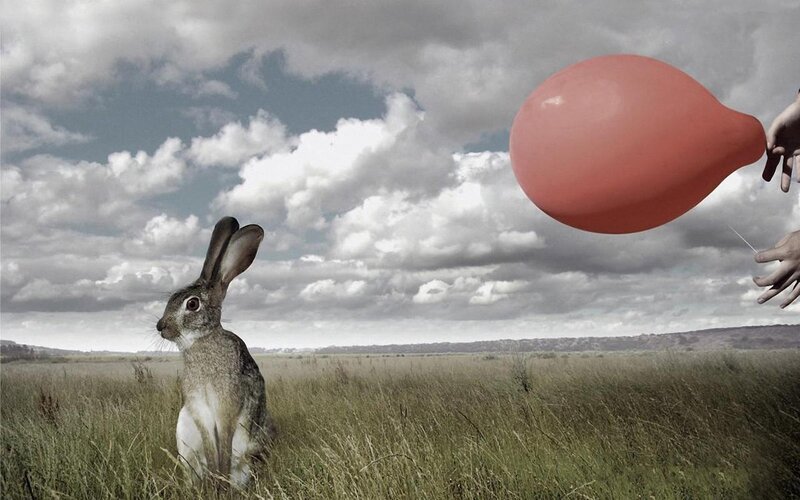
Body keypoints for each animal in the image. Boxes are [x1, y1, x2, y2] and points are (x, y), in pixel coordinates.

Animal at [156, 216, 275, 489]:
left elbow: (225, 446)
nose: (161, 327)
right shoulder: (200, 411)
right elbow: (211, 448)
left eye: (192, 304)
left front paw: (220, 480)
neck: (202, 341)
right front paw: (214, 481)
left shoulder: (226, 407)